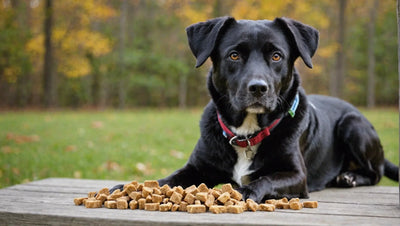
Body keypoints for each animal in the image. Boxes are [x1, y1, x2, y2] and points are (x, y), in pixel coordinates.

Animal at [114, 16, 398, 202]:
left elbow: (267, 178)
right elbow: (168, 179)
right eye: (234, 55)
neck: (247, 133)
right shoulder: (196, 168)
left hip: (353, 125)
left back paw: (349, 177)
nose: (258, 88)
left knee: (376, 173)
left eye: (276, 56)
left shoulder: (296, 175)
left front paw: (245, 191)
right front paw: (129, 187)